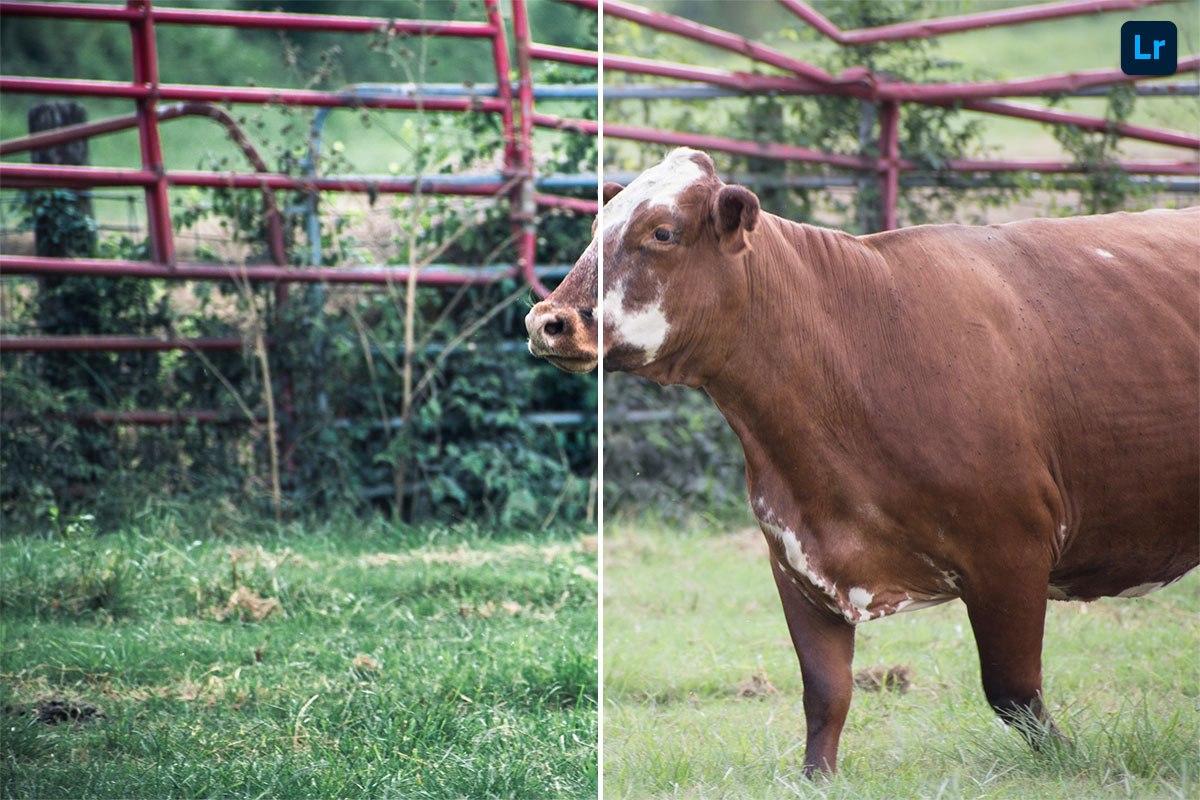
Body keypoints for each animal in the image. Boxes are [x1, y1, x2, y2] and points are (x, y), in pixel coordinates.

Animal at [525, 147, 1200, 775]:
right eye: (597, 227)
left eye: (662, 232)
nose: (547, 321)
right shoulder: (796, 561)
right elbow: (826, 694)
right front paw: (815, 777)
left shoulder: (1012, 554)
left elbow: (1012, 692)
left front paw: (1071, 760)